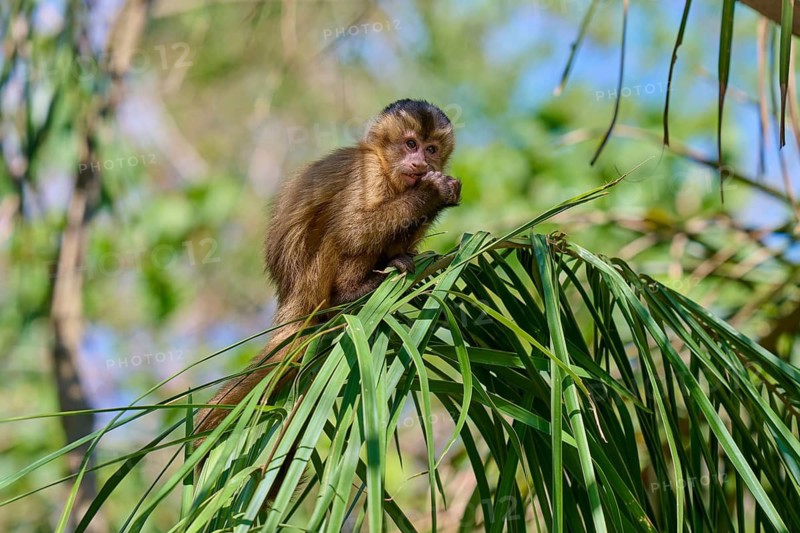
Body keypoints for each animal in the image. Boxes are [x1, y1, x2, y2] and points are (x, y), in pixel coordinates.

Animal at [193, 99, 460, 448]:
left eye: (431, 149)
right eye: (410, 144)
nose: (419, 161)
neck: (384, 163)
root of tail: (290, 297)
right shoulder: (369, 173)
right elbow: (353, 229)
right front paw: (432, 193)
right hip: (311, 282)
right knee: (338, 231)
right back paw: (348, 292)